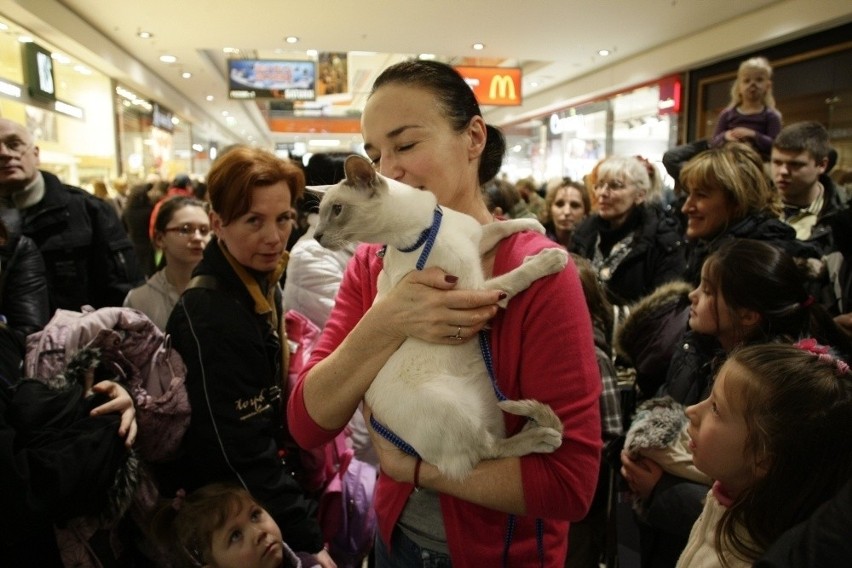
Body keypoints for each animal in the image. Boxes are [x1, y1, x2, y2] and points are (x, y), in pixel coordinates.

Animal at [312, 155, 564, 480]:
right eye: (322, 213)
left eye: (336, 210)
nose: (316, 236)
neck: (424, 232)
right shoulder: (475, 290)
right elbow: (515, 278)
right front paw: (550, 259)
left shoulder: (477, 241)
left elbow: (504, 226)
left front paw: (535, 224)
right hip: (451, 411)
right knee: (488, 450)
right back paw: (542, 437)